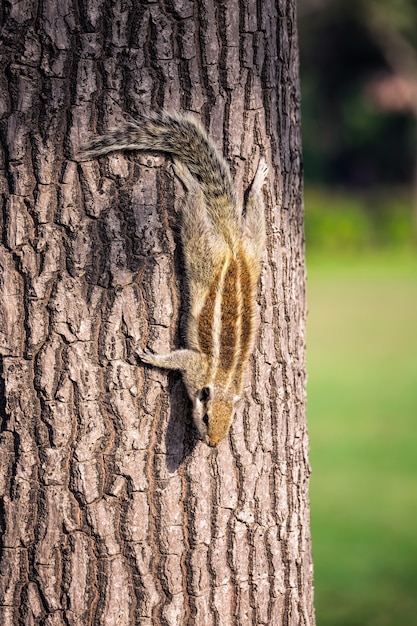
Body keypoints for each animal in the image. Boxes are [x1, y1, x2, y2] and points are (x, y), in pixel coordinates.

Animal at [76, 112, 268, 444]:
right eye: (206, 417)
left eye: (230, 423)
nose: (212, 444)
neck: (224, 378)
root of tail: (232, 246)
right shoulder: (196, 366)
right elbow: (178, 359)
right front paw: (152, 357)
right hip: (203, 250)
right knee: (196, 211)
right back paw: (192, 183)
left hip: (248, 252)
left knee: (251, 220)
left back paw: (253, 186)